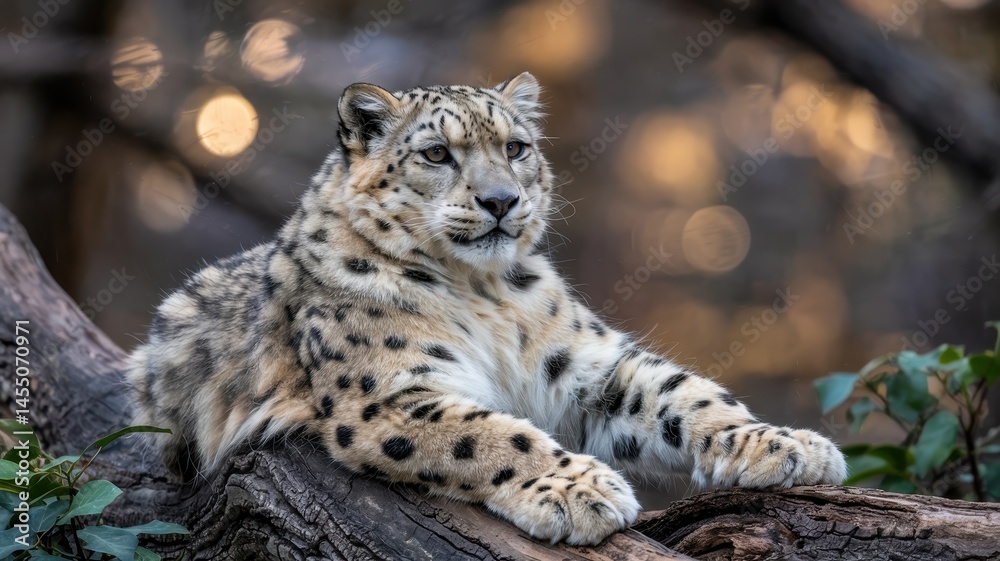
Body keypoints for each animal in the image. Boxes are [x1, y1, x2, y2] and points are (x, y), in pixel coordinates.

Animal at [126, 72, 847, 546]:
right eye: (437, 153)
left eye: (516, 147)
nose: (502, 200)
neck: (485, 293)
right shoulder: (386, 395)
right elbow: (492, 433)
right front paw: (578, 490)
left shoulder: (586, 368)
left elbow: (684, 393)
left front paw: (783, 443)